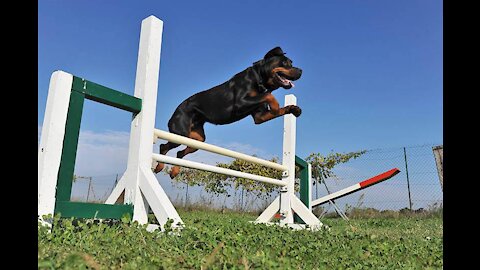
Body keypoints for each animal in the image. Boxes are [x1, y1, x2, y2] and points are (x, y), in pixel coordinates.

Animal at [155, 46, 304, 178]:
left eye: (291, 63)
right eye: (285, 63)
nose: (301, 70)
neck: (259, 79)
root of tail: (174, 113)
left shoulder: (259, 116)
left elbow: (272, 105)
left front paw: (293, 109)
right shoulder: (240, 103)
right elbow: (268, 96)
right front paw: (275, 105)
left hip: (197, 139)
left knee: (179, 153)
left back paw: (174, 172)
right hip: (180, 133)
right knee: (163, 146)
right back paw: (159, 167)